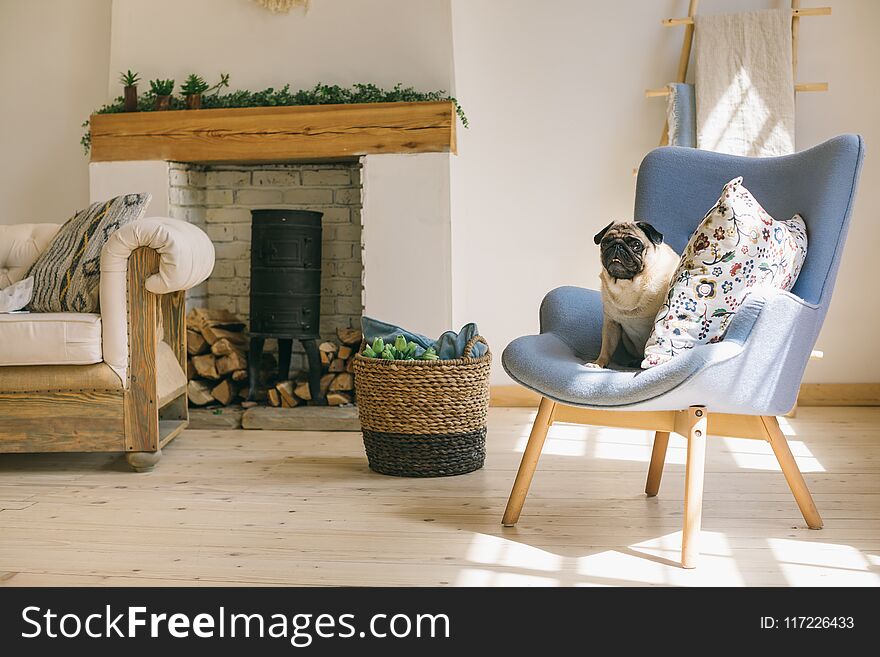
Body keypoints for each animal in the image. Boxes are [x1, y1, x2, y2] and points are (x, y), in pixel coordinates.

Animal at [592, 219, 680, 364]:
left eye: (636, 245)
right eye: (605, 243)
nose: (617, 245)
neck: (627, 285)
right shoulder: (611, 323)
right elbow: (606, 347)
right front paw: (599, 363)